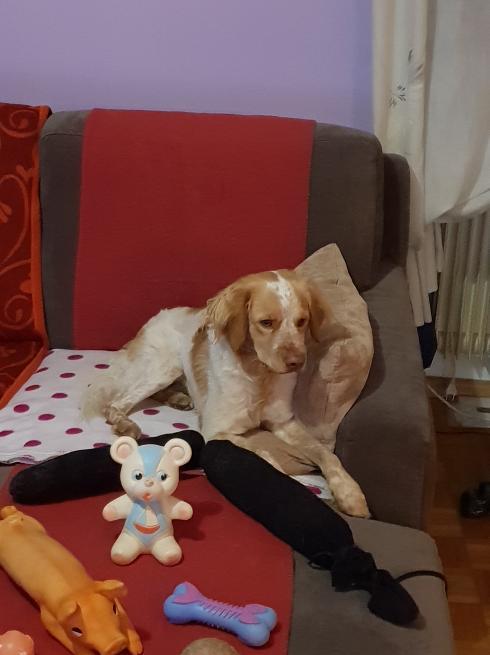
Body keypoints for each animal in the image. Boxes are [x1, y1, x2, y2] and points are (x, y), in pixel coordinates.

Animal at [82, 269, 369, 518]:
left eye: (302, 322)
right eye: (266, 323)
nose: (296, 362)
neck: (259, 375)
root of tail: (157, 316)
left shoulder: (284, 422)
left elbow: (326, 453)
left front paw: (350, 494)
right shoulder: (216, 432)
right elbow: (267, 458)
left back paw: (179, 399)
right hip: (163, 366)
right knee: (117, 402)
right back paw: (126, 424)